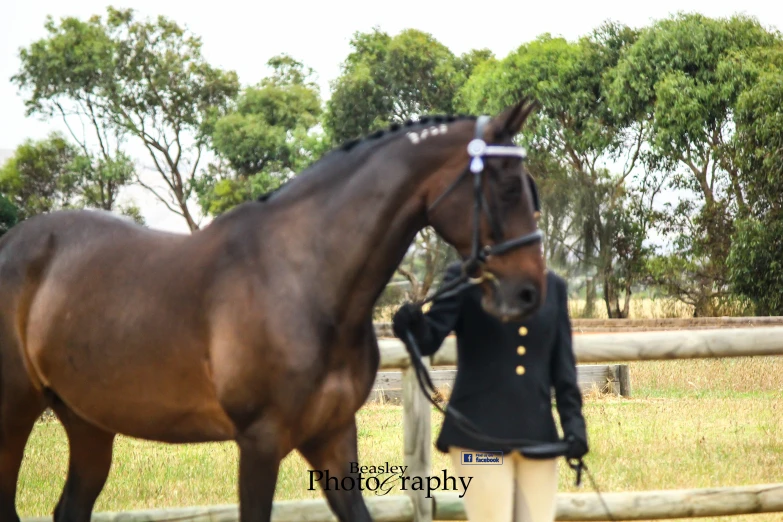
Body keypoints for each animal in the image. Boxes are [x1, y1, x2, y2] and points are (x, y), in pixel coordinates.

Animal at [0, 95, 548, 516]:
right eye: (506, 186)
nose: (528, 293)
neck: (304, 280)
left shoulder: (333, 437)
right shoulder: (259, 445)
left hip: (87, 422)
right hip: (14, 414)